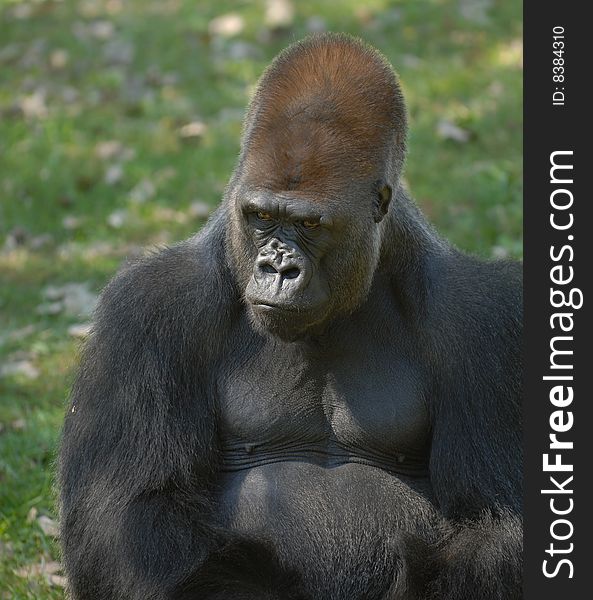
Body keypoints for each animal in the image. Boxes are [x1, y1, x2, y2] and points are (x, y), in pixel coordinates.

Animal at [59, 34, 524, 600]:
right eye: (261, 217)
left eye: (308, 223)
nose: (278, 267)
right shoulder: (147, 311)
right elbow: (128, 514)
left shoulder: (481, 320)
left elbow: (500, 522)